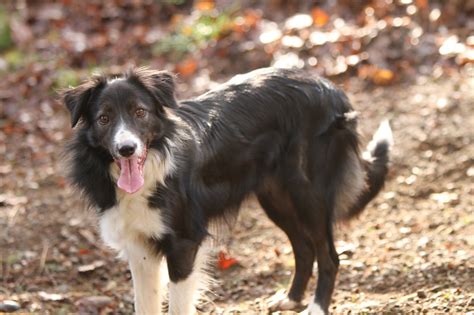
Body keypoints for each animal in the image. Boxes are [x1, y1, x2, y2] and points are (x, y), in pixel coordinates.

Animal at [63, 68, 392, 314]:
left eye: (139, 112)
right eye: (104, 118)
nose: (127, 149)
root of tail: (333, 89)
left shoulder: (184, 243)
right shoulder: (140, 247)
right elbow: (146, 305)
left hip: (309, 195)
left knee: (329, 256)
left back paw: (316, 308)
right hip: (276, 198)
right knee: (304, 247)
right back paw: (291, 299)